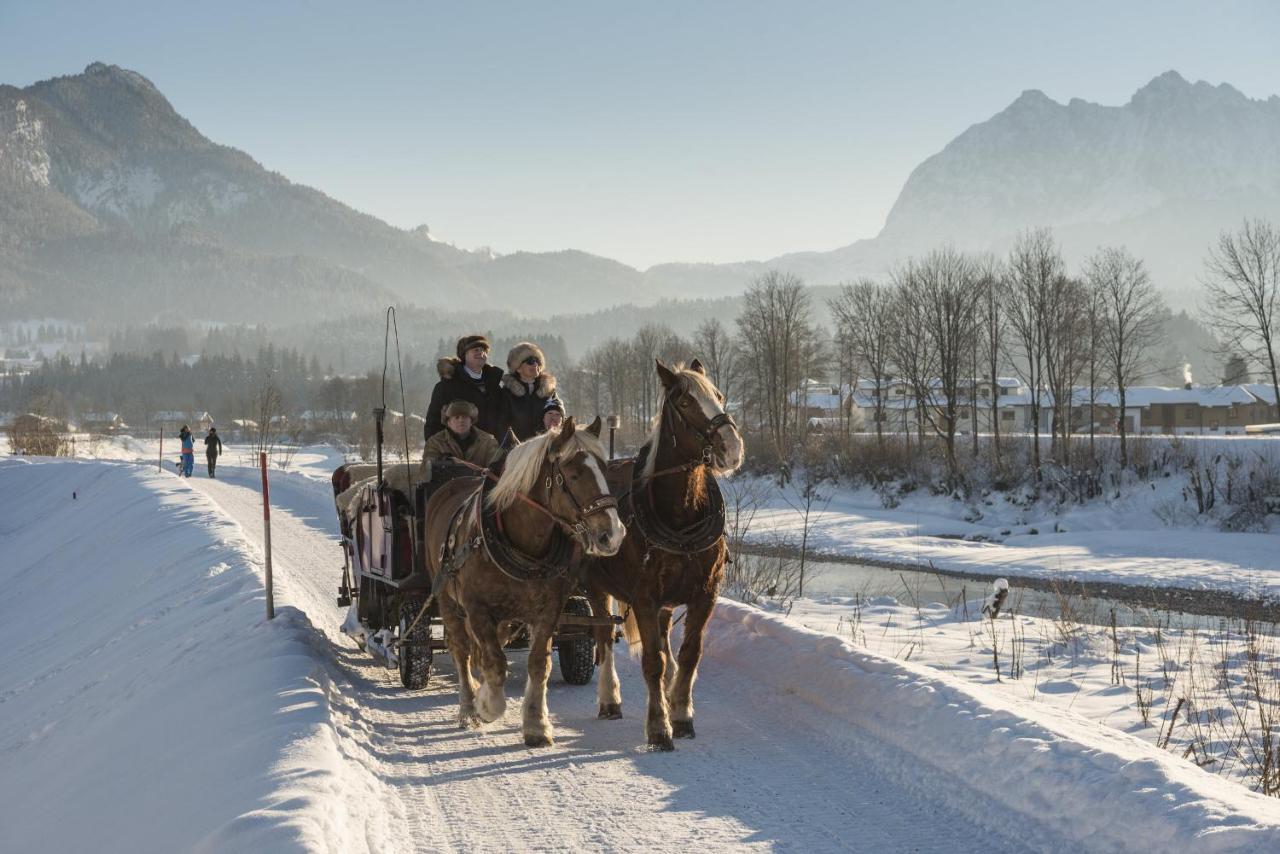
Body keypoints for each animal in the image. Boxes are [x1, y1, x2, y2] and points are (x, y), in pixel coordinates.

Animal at [424, 419, 624, 747]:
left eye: (606, 469)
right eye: (573, 474)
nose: (613, 534)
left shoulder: (548, 609)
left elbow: (538, 663)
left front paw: (536, 724)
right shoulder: (477, 607)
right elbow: (494, 662)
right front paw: (487, 706)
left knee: (602, 631)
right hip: (446, 597)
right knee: (461, 648)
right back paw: (467, 708)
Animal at [586, 358, 747, 747]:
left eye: (720, 395)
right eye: (685, 402)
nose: (732, 447)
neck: (682, 518)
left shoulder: (705, 595)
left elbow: (688, 654)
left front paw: (682, 713)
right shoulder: (644, 598)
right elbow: (652, 662)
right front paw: (659, 726)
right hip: (595, 587)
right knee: (604, 638)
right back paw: (610, 699)